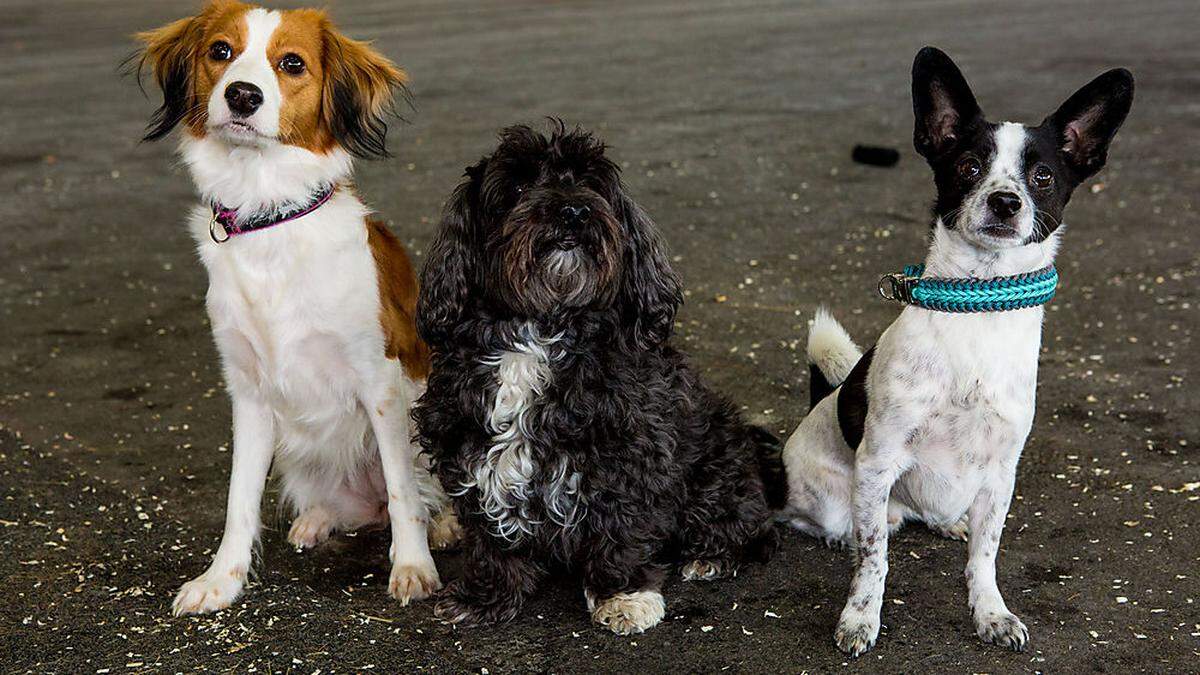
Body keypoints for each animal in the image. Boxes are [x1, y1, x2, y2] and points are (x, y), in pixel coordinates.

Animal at [132, 0, 458, 612]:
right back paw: (318, 519)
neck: (269, 215)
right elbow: (239, 500)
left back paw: (444, 523)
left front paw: (412, 567)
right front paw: (222, 579)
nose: (242, 95)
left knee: (419, 494)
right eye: (220, 51)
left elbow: (403, 489)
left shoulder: (381, 384)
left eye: (292, 63)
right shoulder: (248, 392)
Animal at [412, 123, 787, 634]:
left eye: (590, 183)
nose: (574, 210)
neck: (539, 331)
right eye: (518, 187)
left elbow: (621, 525)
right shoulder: (469, 447)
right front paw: (486, 596)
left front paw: (624, 594)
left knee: (754, 528)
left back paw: (712, 555)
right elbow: (490, 539)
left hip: (717, 467)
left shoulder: (629, 453)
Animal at [782, 45, 1128, 653]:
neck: (977, 308)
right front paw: (860, 618)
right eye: (968, 166)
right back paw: (841, 535)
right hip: (832, 496)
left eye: (1042, 175)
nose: (1006, 201)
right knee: (840, 524)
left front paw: (990, 613)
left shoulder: (1000, 475)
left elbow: (984, 556)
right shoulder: (878, 461)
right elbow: (874, 561)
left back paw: (946, 522)